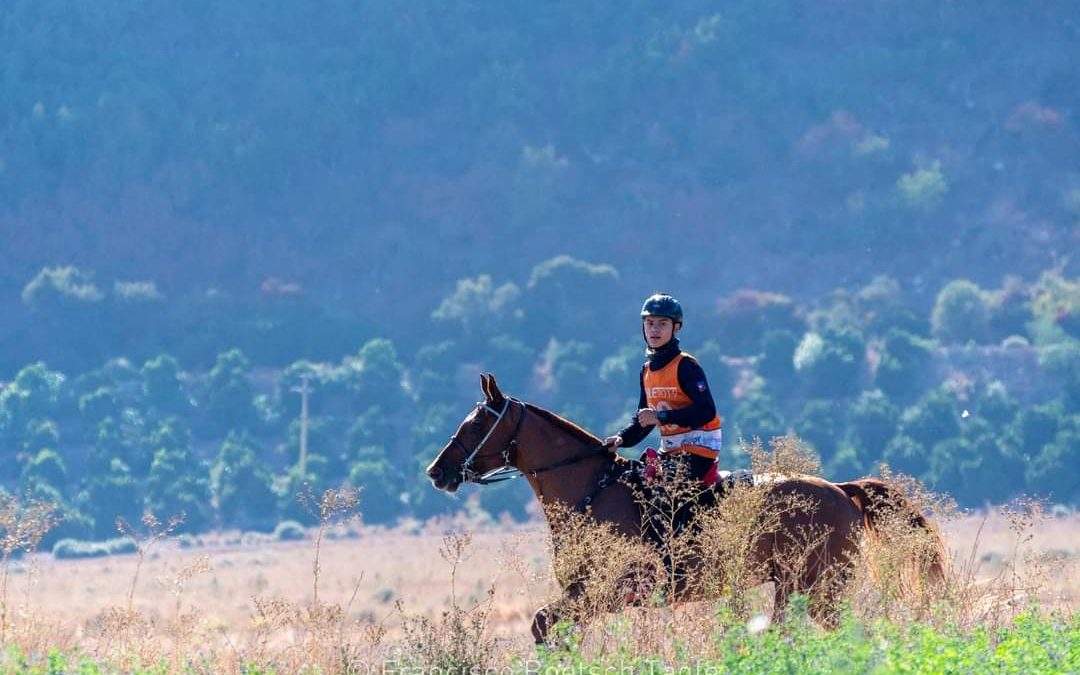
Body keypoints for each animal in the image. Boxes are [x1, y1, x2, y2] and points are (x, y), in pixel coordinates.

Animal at [423, 373, 946, 643]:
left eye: (476, 424)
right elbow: (545, 626)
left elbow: (544, 623)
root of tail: (840, 490)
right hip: (793, 588)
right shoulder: (582, 594)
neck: (588, 489)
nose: (436, 471)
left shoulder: (609, 591)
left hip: (819, 587)